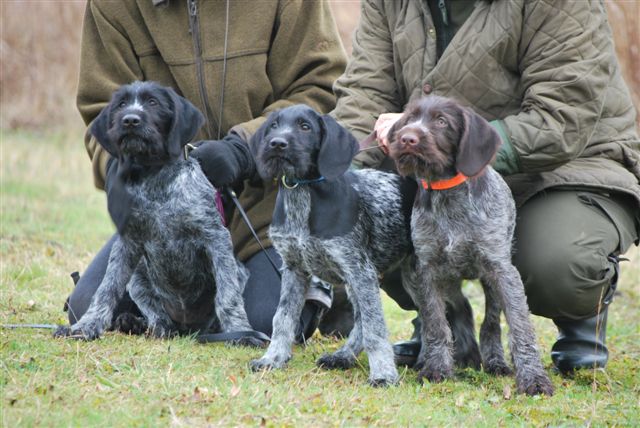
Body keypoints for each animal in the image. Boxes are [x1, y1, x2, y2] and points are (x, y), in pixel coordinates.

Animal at [52, 82, 258, 346]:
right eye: (121, 104)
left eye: (153, 102)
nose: (130, 120)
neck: (154, 176)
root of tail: (186, 328)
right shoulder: (127, 244)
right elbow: (107, 288)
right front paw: (86, 326)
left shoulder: (215, 238)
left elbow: (228, 295)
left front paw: (240, 331)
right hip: (138, 277)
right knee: (156, 315)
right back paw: (140, 324)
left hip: (237, 271)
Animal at [248, 105, 478, 386]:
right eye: (274, 125)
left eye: (305, 127)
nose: (277, 143)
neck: (304, 195)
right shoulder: (295, 270)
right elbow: (282, 319)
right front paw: (273, 359)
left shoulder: (359, 270)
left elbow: (375, 328)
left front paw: (383, 374)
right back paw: (344, 356)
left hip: (413, 277)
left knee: (447, 311)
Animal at [384, 95, 556, 396]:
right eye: (409, 119)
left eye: (442, 121)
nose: (406, 138)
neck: (447, 194)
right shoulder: (426, 272)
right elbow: (436, 325)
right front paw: (437, 369)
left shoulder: (502, 270)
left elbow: (520, 327)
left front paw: (534, 379)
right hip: (421, 278)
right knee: (459, 308)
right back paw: (461, 354)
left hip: (490, 277)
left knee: (490, 322)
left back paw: (494, 361)